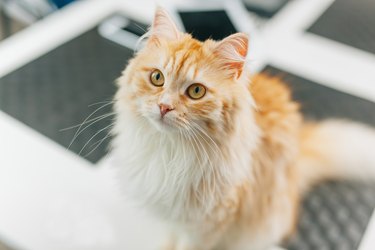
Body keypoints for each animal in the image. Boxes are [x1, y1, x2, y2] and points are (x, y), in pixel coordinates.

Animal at [111, 6, 375, 249]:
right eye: (157, 78)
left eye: (196, 91)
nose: (164, 107)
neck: (171, 151)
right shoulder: (172, 215)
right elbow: (169, 240)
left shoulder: (208, 224)